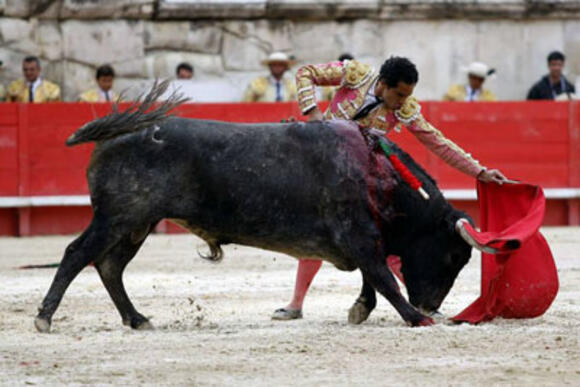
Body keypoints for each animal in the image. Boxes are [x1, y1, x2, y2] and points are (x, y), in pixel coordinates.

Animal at [34, 97, 482, 334]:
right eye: (452, 256)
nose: (430, 306)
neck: (377, 171)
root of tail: (118, 132)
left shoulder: (364, 238)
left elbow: (373, 277)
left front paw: (364, 310)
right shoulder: (359, 235)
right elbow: (384, 277)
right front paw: (414, 318)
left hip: (135, 225)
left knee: (110, 266)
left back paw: (137, 318)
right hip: (118, 217)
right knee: (77, 255)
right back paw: (44, 318)